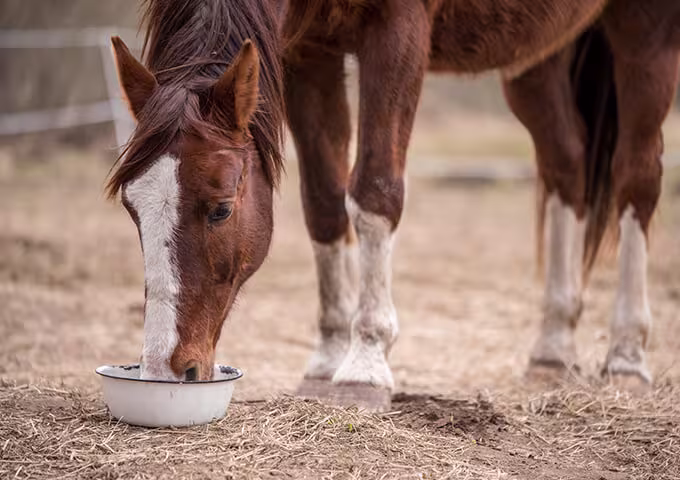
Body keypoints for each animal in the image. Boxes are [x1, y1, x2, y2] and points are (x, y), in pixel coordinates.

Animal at [109, 0, 680, 410]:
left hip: (645, 33)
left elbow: (375, 191)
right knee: (566, 165)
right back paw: (552, 349)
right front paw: (327, 359)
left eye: (222, 208)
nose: (166, 370)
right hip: (537, 58)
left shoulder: (397, 31)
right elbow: (323, 202)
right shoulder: (309, 52)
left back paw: (627, 356)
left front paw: (365, 363)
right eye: (132, 209)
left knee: (637, 177)